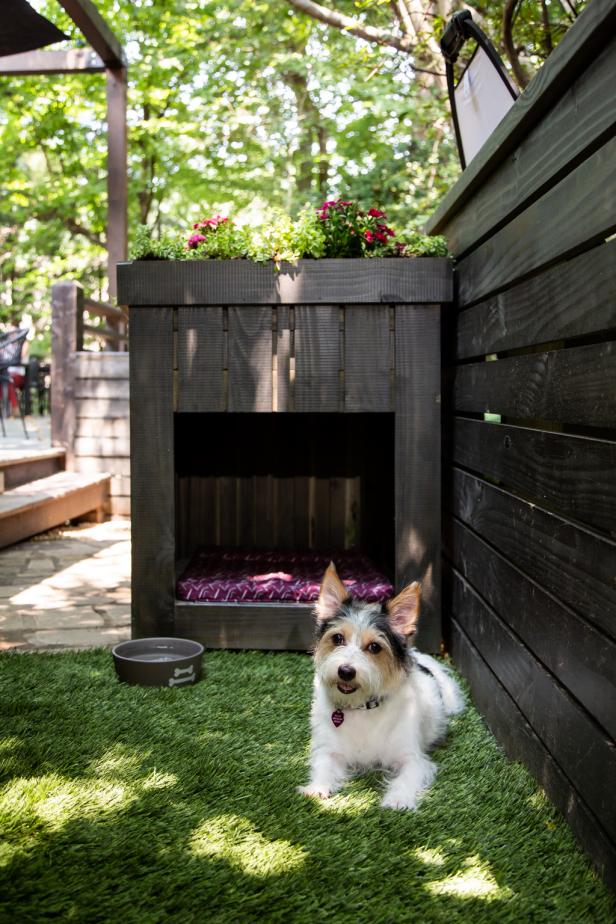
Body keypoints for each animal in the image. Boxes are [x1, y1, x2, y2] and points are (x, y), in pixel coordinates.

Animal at [298, 564, 462, 808]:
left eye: (375, 647)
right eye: (337, 638)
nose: (345, 671)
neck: (361, 708)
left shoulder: (413, 759)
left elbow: (406, 777)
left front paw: (398, 799)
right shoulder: (329, 752)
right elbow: (324, 768)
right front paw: (316, 788)